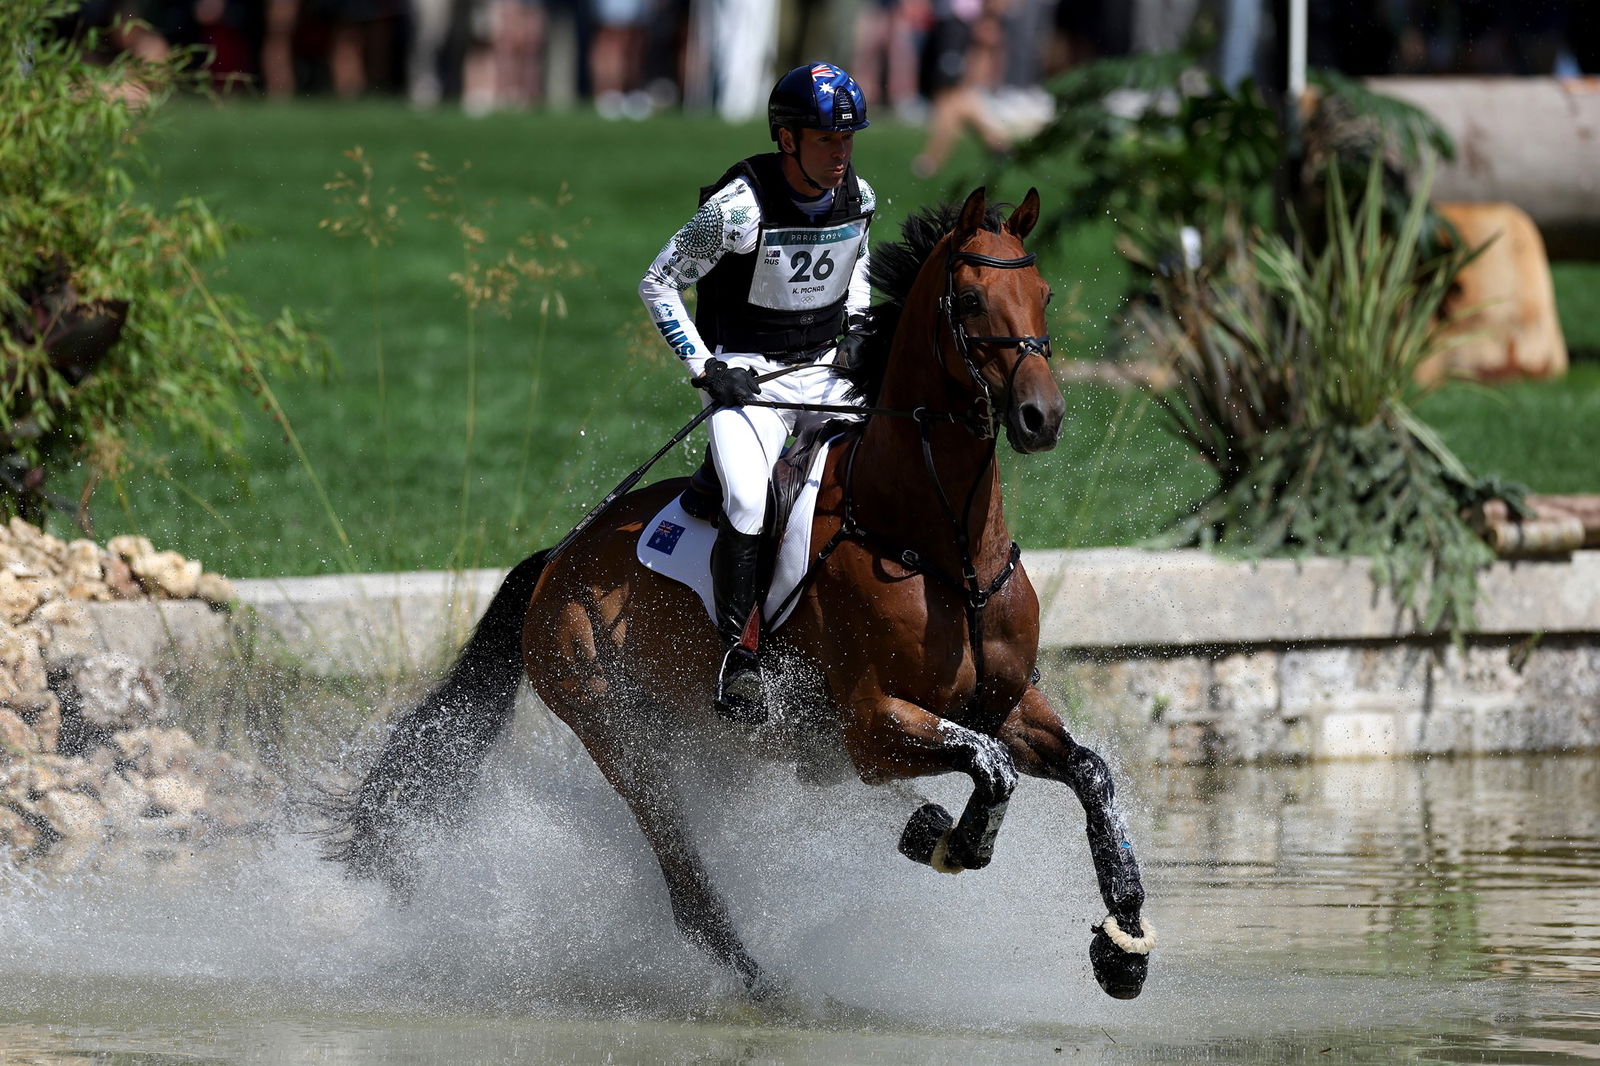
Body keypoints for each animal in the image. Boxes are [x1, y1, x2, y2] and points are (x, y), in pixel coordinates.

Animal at [324, 188, 1152, 998]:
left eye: (1043, 294)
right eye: (973, 300)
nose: (1042, 417)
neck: (943, 541)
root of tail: (558, 558)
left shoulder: (1004, 702)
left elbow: (1086, 771)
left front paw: (1125, 942)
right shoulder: (872, 728)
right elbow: (990, 766)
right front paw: (948, 837)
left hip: (720, 749)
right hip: (620, 737)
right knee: (687, 886)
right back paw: (765, 982)